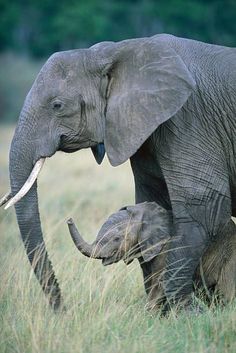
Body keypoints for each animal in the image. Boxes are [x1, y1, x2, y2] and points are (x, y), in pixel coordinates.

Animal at [66, 201, 236, 308]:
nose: (69, 219)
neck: (144, 215)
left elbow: (159, 283)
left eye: (117, 238)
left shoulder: (168, 248)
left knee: (226, 292)